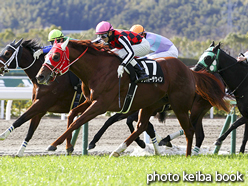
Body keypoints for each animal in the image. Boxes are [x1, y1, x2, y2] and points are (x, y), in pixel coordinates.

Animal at [35, 38, 229, 157]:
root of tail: (190, 71)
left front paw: (54, 143)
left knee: (189, 129)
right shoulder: (91, 100)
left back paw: (188, 155)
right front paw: (68, 146)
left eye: (55, 56)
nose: (40, 76)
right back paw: (118, 150)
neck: (98, 69)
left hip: (180, 106)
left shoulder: (101, 104)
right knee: (142, 125)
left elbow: (79, 121)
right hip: (151, 104)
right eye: (48, 55)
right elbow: (71, 115)